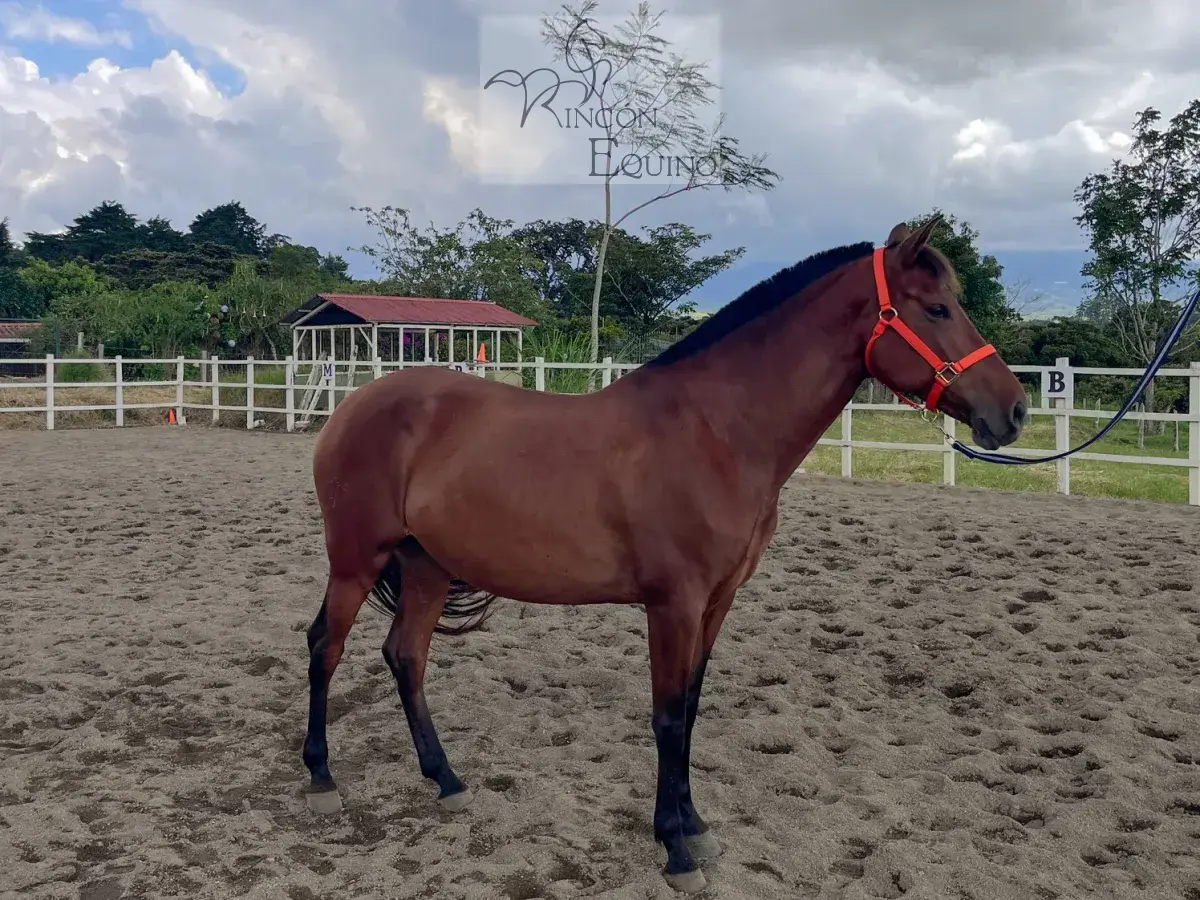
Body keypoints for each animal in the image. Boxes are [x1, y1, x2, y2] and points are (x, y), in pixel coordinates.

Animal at [299, 216, 1028, 893]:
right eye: (936, 309)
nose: (1016, 411)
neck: (715, 432)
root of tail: (352, 403)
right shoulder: (672, 604)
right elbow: (669, 717)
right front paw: (676, 850)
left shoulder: (716, 601)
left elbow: (693, 709)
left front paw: (694, 825)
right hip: (357, 559)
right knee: (325, 647)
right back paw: (323, 779)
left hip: (426, 565)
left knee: (406, 656)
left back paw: (446, 780)